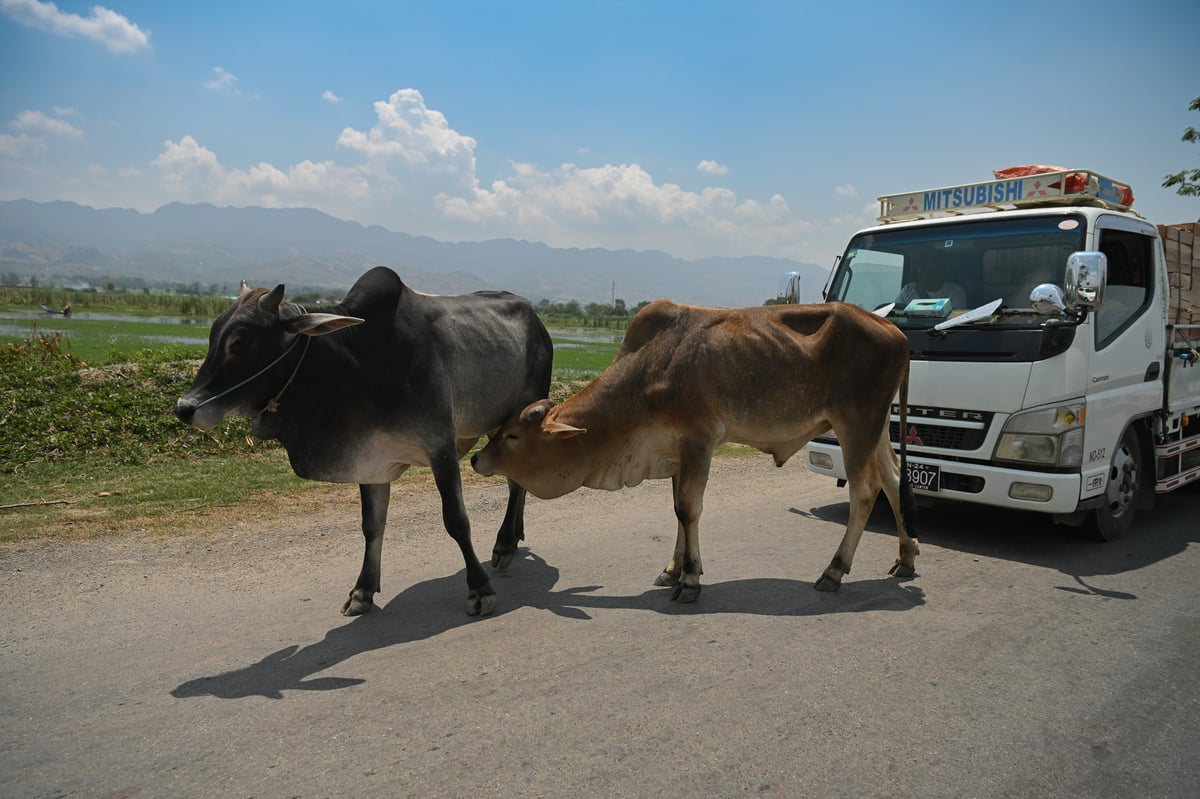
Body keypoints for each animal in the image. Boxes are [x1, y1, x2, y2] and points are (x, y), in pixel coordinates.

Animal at [172, 267, 552, 614]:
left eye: (241, 342)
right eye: (212, 336)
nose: (184, 408)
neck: (358, 366)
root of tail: (536, 320)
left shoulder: (440, 447)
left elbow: (456, 521)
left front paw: (479, 589)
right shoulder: (371, 460)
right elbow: (372, 525)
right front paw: (363, 590)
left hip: (519, 416)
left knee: (516, 482)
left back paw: (505, 544)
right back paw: (513, 539)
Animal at [470, 297, 916, 597]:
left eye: (513, 435)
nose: (475, 458)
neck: (648, 370)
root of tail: (896, 332)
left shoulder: (700, 442)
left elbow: (689, 509)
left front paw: (689, 579)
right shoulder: (675, 451)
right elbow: (677, 511)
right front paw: (673, 568)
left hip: (855, 424)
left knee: (865, 491)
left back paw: (834, 571)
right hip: (875, 428)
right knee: (895, 480)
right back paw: (906, 557)